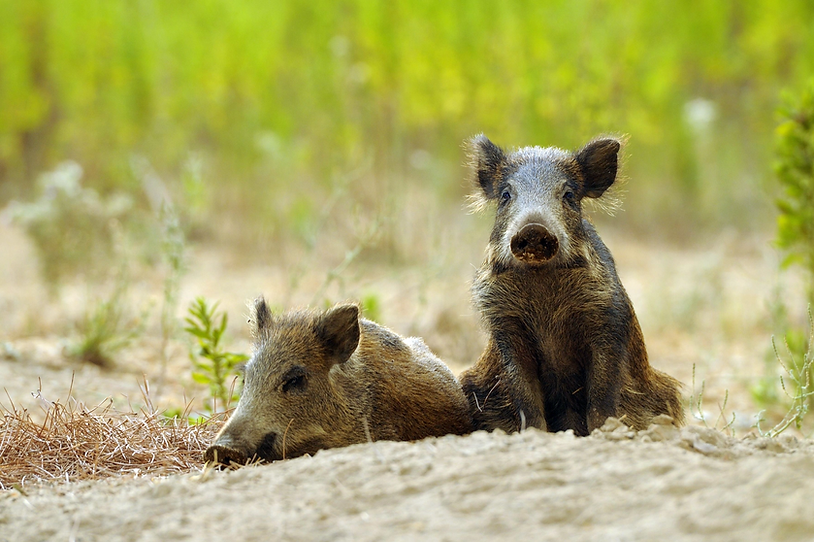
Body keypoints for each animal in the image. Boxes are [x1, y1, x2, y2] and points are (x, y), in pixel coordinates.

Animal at [459, 134, 684, 436]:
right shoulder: (506, 327)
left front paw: (603, 432)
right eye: (506, 195)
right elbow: (525, 397)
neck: (541, 285)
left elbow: (602, 394)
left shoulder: (607, 321)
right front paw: (536, 434)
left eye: (568, 195)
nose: (533, 228)